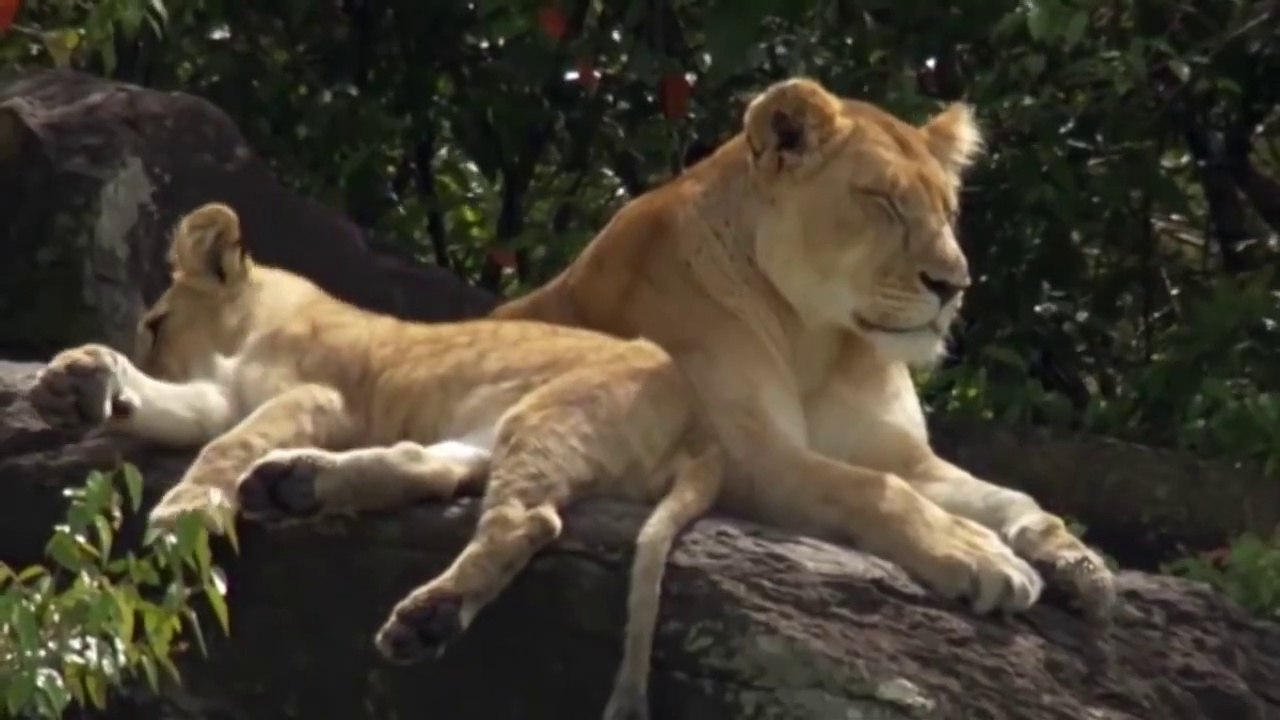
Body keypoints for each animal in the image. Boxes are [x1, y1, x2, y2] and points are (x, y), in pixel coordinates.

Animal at [493, 77, 1117, 628]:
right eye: (884, 202)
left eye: (948, 212)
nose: (953, 285)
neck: (817, 340)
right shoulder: (740, 452)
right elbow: (874, 489)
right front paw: (978, 553)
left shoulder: (903, 456)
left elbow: (1010, 494)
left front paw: (1074, 560)